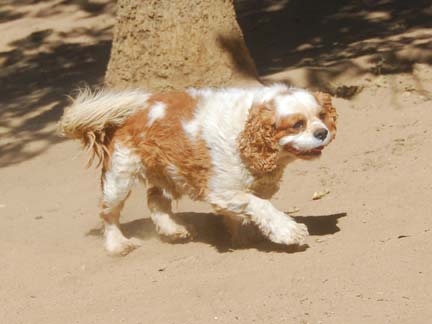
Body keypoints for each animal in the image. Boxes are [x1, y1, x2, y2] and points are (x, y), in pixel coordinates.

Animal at [58, 84, 338, 256]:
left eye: (321, 116)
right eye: (297, 124)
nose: (322, 132)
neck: (244, 130)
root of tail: (125, 115)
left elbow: (245, 212)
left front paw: (242, 235)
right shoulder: (221, 190)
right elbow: (261, 206)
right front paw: (289, 231)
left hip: (170, 172)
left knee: (155, 200)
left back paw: (173, 228)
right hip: (120, 178)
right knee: (109, 214)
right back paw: (118, 245)